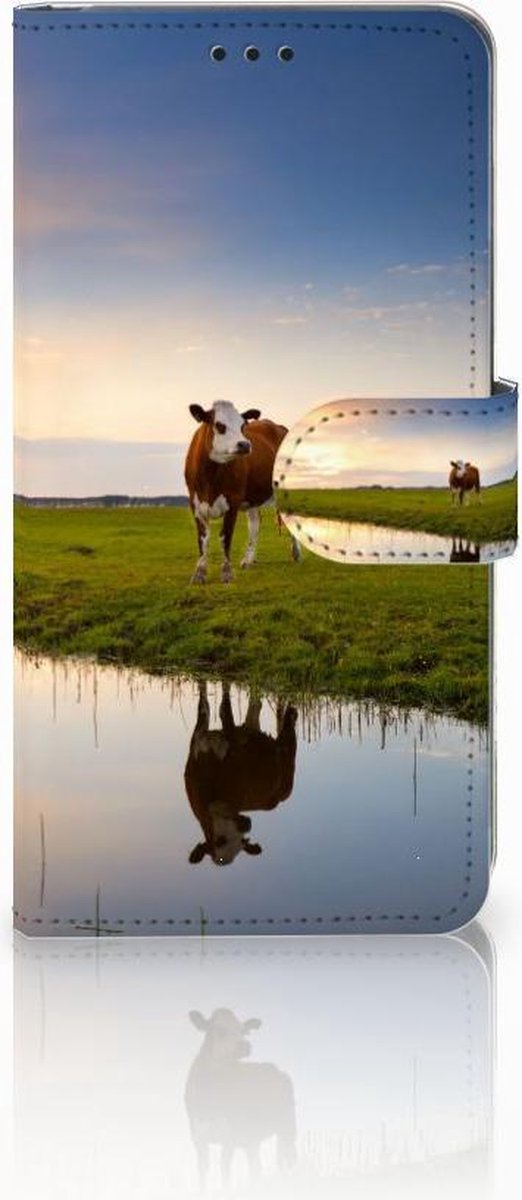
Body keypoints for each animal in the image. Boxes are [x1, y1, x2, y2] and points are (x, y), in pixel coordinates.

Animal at [185, 400, 301, 582]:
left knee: (289, 518)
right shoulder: (195, 504)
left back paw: (296, 553)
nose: (245, 444)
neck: (210, 477)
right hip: (252, 497)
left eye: (242, 426)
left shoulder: (233, 501)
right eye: (219, 425)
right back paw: (248, 559)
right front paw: (199, 573)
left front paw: (226, 573)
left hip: (285, 488)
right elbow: (203, 539)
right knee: (255, 522)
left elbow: (225, 537)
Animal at [185, 682, 298, 866]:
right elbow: (205, 704)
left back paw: (292, 713)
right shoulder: (198, 739)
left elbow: (224, 709)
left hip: (287, 769)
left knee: (287, 731)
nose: (247, 825)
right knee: (256, 707)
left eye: (241, 842)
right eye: (220, 841)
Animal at [185, 1008, 296, 1187]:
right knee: (257, 1167)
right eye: (219, 1029)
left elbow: (225, 1171)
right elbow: (203, 1173)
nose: (245, 1045)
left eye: (243, 1031)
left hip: (288, 1126)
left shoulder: (230, 1136)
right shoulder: (198, 1137)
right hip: (252, 1137)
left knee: (290, 1157)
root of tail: (277, 1069)